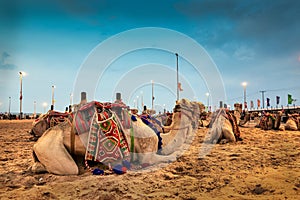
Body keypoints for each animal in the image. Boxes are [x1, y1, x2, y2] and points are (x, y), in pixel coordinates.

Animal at [31, 98, 199, 175]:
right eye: (193, 104)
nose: (202, 108)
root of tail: (37, 144)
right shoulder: (147, 156)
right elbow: (172, 156)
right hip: (52, 148)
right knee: (70, 168)